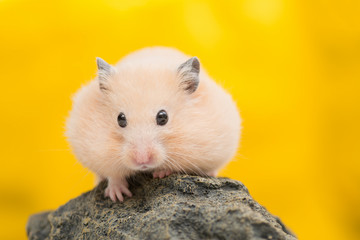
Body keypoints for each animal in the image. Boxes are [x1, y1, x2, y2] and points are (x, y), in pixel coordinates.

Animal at [66, 46, 240, 202]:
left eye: (163, 117)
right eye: (120, 119)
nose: (142, 161)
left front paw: (160, 173)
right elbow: (113, 175)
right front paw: (118, 196)